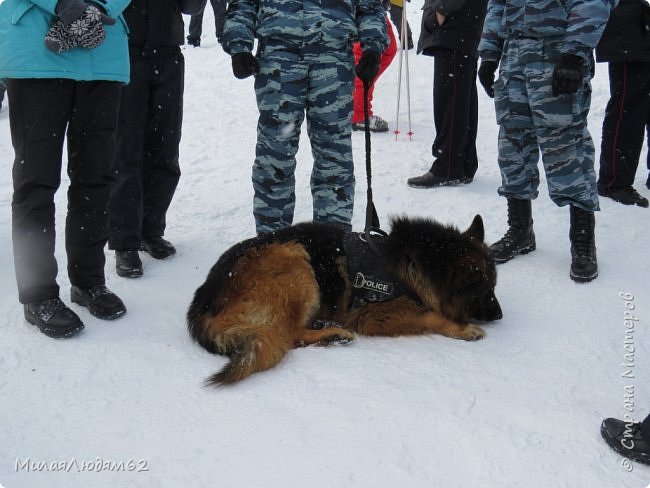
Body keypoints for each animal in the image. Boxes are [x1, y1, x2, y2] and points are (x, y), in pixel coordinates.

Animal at [187, 216, 502, 386]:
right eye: (487, 290)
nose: (499, 316)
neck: (416, 262)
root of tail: (203, 298)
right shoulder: (372, 314)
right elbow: (431, 315)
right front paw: (462, 329)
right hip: (294, 260)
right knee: (290, 335)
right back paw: (333, 334)